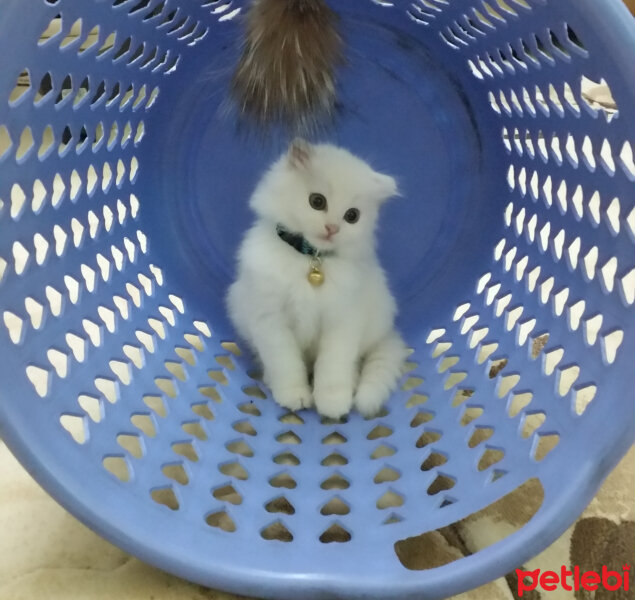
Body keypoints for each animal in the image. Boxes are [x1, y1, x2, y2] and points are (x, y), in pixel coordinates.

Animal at [229, 139, 408, 418]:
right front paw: (294, 396)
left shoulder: (342, 321)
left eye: (352, 216)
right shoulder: (270, 321)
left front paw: (333, 403)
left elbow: (332, 367)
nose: (332, 228)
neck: (310, 259)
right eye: (317, 201)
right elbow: (285, 364)